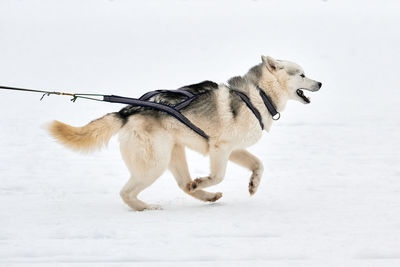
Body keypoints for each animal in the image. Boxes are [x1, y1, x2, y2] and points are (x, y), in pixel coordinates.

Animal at [47, 56, 322, 211]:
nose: (320, 83)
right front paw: (204, 181)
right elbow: (218, 175)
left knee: (183, 185)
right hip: (154, 164)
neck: (259, 94)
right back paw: (147, 207)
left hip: (173, 154)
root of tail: (127, 111)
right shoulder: (220, 149)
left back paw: (206, 196)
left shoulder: (233, 149)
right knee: (126, 193)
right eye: (302, 74)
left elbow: (259, 165)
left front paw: (253, 184)